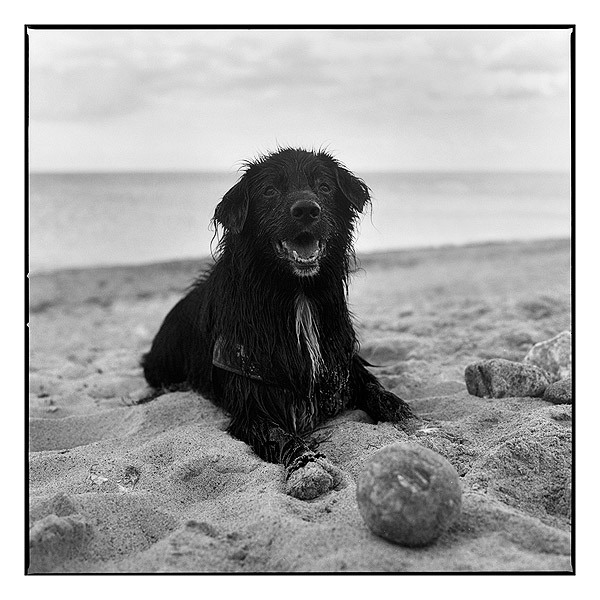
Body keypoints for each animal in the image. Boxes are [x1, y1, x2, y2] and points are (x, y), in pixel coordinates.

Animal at [143, 148, 410, 500]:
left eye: (324, 186)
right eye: (270, 191)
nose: (307, 209)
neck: (297, 295)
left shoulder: (341, 363)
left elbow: (376, 389)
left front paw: (404, 414)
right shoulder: (252, 399)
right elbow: (282, 435)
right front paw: (308, 466)